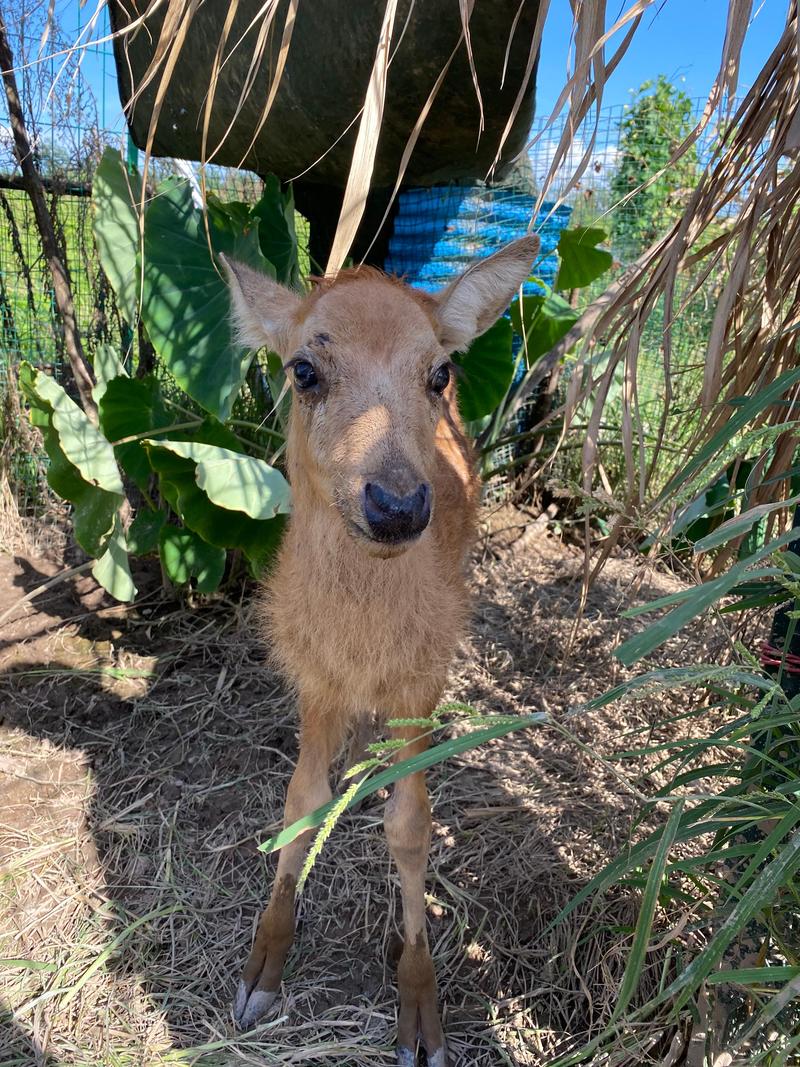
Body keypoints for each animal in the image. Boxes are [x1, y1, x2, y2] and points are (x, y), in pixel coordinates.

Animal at [222, 235, 541, 1067]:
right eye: (303, 369)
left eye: (438, 373)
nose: (397, 506)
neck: (363, 642)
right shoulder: (315, 678)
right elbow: (301, 802)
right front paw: (262, 968)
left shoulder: (420, 681)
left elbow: (410, 824)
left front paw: (420, 1009)